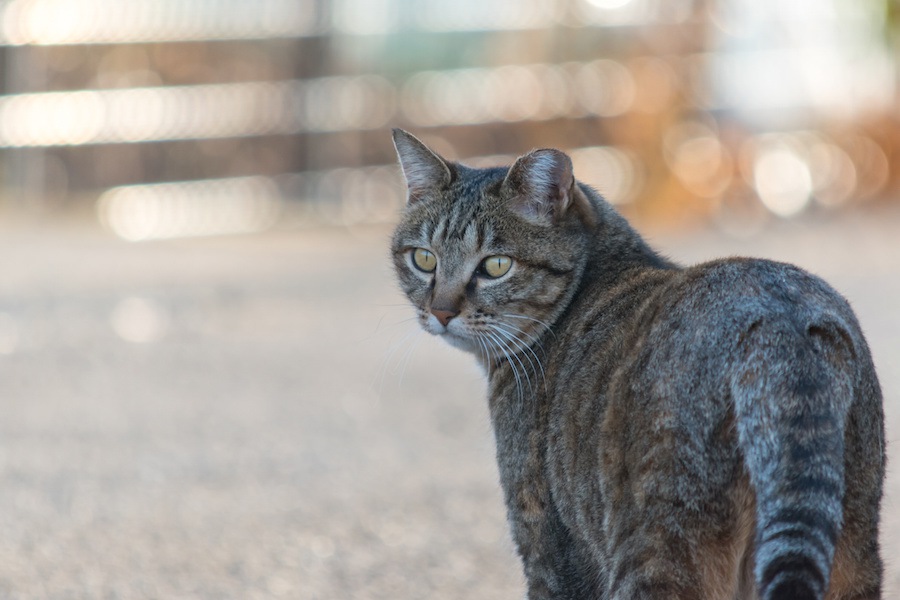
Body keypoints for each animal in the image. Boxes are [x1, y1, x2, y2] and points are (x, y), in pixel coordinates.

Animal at [388, 127, 884, 600]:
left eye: (495, 266)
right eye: (424, 259)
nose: (441, 311)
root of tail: (777, 318)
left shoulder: (547, 547)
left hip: (658, 548)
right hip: (852, 548)